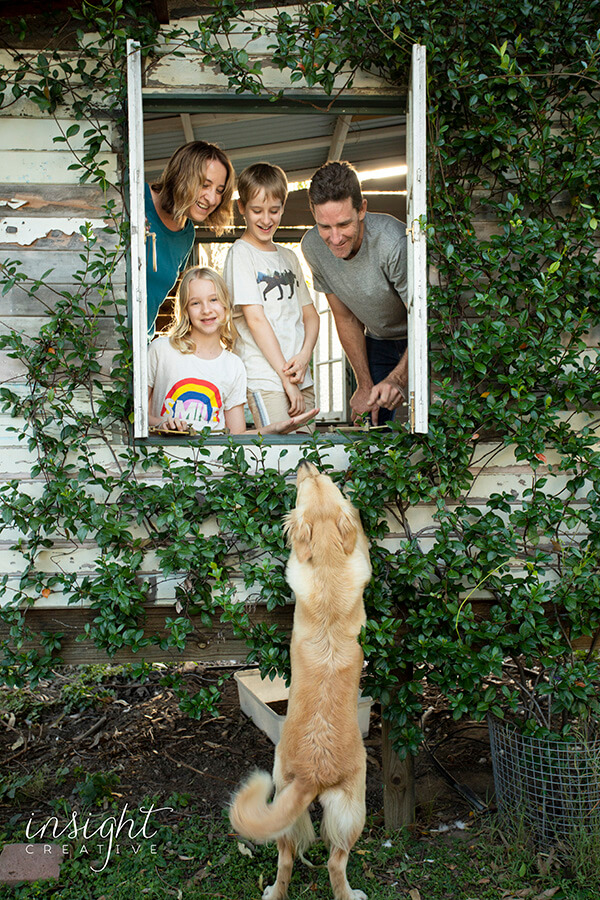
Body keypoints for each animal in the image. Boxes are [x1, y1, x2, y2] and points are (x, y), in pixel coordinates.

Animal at [230, 460, 370, 900]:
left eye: (321, 479)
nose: (306, 462)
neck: (326, 564)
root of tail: (314, 773)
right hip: (348, 805)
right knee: (325, 861)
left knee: (299, 860)